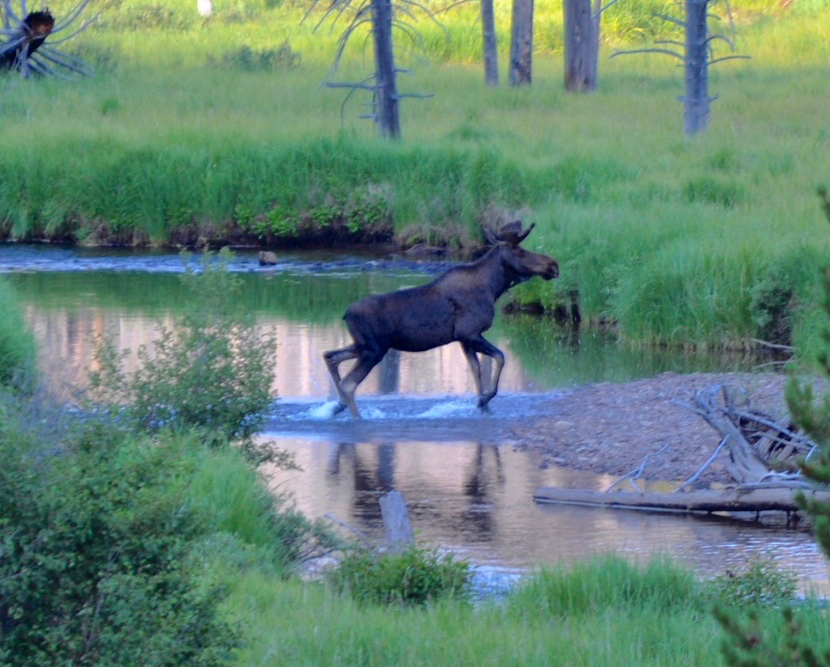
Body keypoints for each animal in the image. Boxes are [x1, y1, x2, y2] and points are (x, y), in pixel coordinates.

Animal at [324, 219, 560, 418]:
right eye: (520, 250)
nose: (553, 265)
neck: (493, 288)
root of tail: (345, 315)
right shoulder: (469, 332)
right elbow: (500, 357)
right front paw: (486, 398)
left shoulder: (464, 339)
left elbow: (476, 372)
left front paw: (482, 405)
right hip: (374, 349)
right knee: (348, 384)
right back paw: (356, 417)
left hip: (362, 345)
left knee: (330, 356)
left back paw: (337, 406)